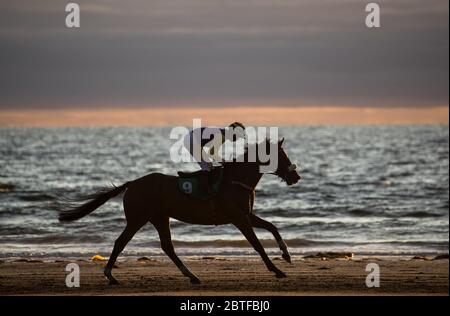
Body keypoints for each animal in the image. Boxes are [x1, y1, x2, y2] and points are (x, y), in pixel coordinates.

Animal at [59, 138, 298, 284]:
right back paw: (110, 275)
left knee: (167, 247)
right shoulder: (239, 218)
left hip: (159, 218)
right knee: (121, 242)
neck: (235, 181)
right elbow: (258, 245)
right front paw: (277, 270)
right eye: (282, 156)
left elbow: (272, 227)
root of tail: (133, 183)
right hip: (138, 218)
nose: (295, 176)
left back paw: (192, 276)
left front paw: (286, 255)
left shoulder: (246, 215)